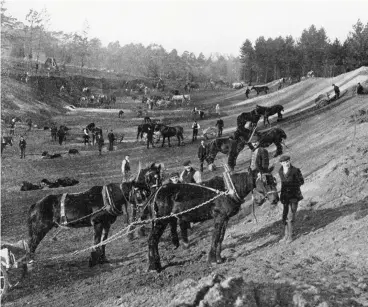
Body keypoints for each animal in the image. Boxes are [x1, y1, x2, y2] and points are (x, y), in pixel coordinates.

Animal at [144, 168, 278, 272]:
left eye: (274, 181)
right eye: (265, 182)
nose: (275, 199)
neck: (227, 190)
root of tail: (156, 193)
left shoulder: (225, 218)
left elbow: (221, 238)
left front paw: (219, 259)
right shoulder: (219, 217)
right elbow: (215, 237)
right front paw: (212, 260)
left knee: (154, 240)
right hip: (161, 221)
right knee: (152, 240)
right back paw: (153, 267)